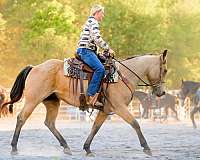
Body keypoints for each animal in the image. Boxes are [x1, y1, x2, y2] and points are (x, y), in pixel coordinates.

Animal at [0, 50, 168, 156]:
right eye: (165, 70)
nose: (162, 93)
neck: (122, 76)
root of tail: (35, 67)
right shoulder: (120, 107)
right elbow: (135, 124)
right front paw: (146, 148)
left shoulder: (105, 110)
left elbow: (95, 128)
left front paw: (87, 148)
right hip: (33, 100)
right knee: (21, 118)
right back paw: (14, 148)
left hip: (52, 101)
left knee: (49, 123)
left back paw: (66, 147)